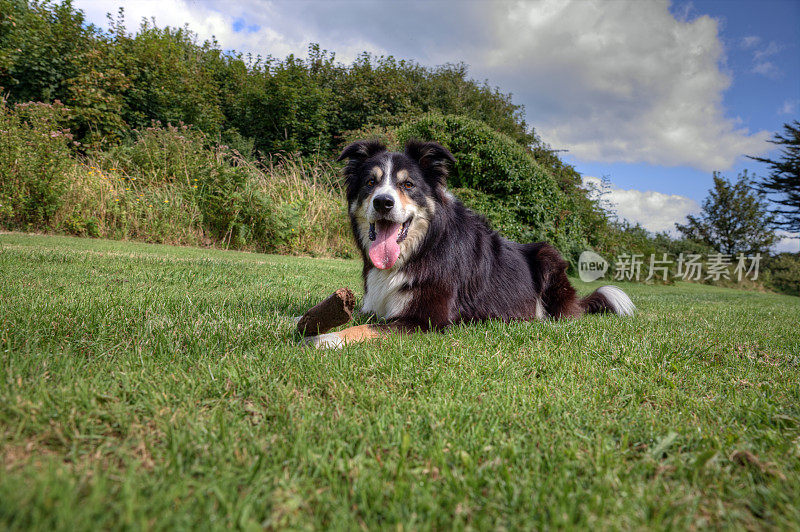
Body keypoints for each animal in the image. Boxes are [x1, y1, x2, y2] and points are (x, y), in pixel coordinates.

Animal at [304, 140, 636, 350]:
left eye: (408, 184)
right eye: (370, 183)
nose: (383, 202)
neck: (423, 247)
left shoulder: (427, 319)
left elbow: (365, 329)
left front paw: (325, 339)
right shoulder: (375, 305)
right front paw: (305, 320)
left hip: (548, 256)